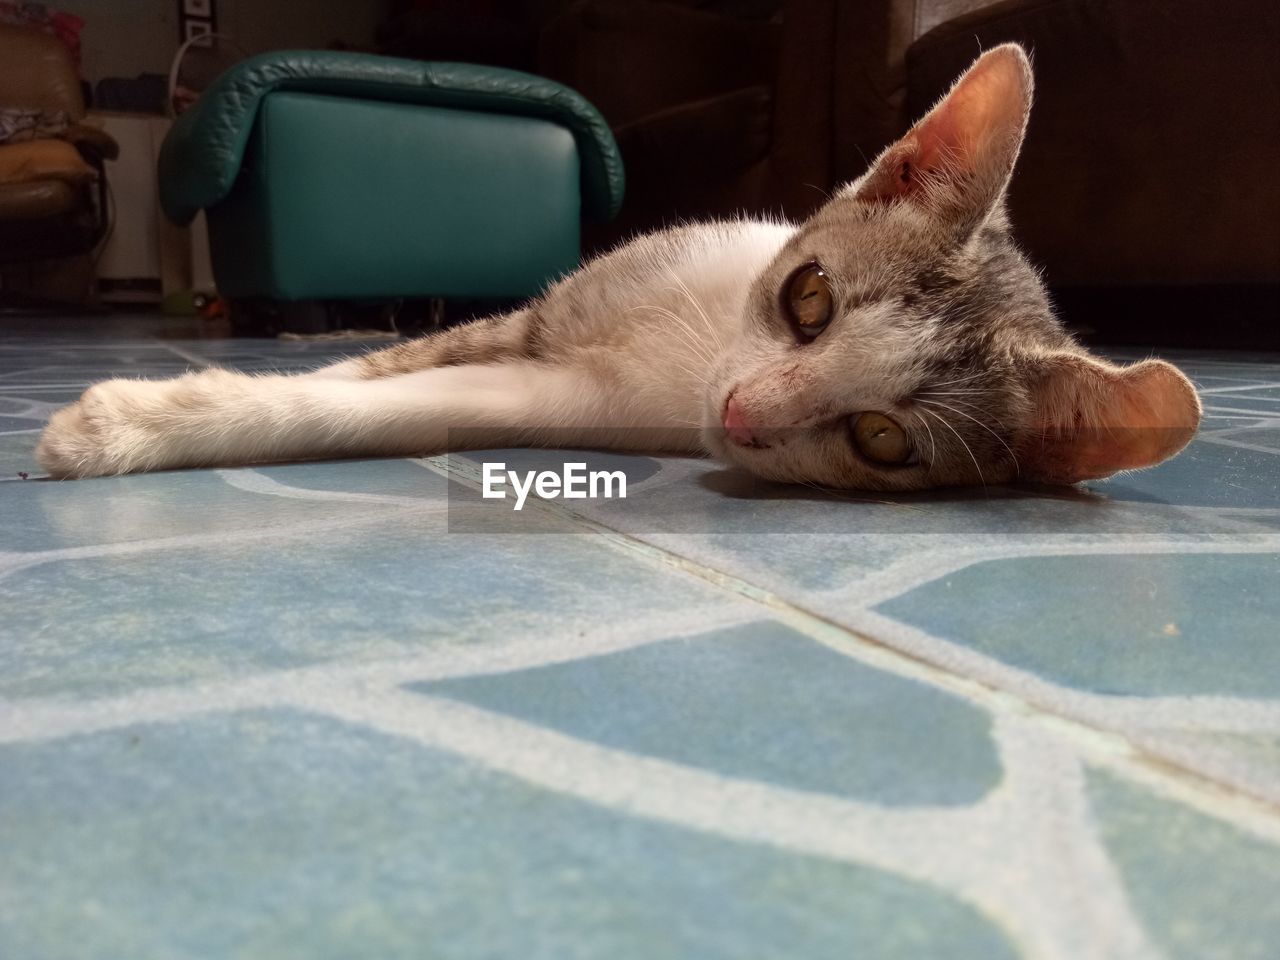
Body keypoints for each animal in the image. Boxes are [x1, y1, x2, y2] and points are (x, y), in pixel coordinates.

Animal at [37, 44, 1198, 488]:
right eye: (809, 298)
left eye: (881, 439)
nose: (738, 416)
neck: (693, 352)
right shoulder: (544, 319)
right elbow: (360, 374)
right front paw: (140, 410)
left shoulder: (571, 395)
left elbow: (385, 405)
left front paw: (128, 424)